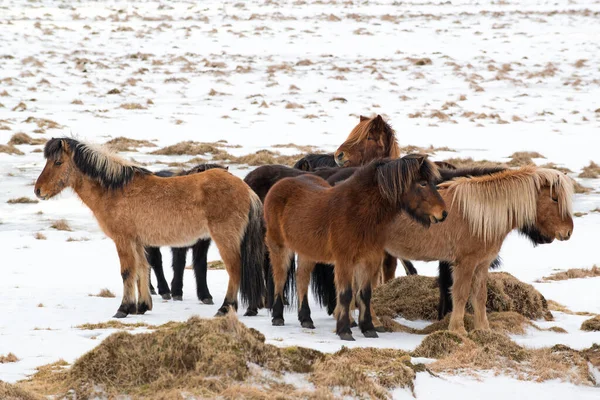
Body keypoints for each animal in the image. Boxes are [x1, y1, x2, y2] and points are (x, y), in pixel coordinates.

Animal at [34, 138, 264, 318]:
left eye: (58, 162)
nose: (38, 190)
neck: (116, 190)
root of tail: (246, 189)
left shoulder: (123, 240)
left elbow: (127, 272)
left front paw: (123, 309)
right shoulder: (137, 242)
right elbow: (142, 270)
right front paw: (142, 306)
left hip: (225, 238)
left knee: (234, 269)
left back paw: (225, 308)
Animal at [264, 155, 448, 340]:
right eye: (423, 183)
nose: (443, 213)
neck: (358, 212)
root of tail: (279, 185)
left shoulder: (369, 259)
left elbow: (365, 294)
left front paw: (368, 328)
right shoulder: (344, 260)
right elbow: (346, 294)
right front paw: (345, 330)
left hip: (307, 252)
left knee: (301, 279)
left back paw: (306, 319)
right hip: (279, 246)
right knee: (280, 277)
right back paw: (278, 317)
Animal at [382, 166, 576, 334]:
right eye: (554, 198)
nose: (568, 232)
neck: (478, 216)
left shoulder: (482, 264)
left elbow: (480, 296)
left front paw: (483, 329)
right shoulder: (465, 263)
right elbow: (460, 294)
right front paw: (458, 330)